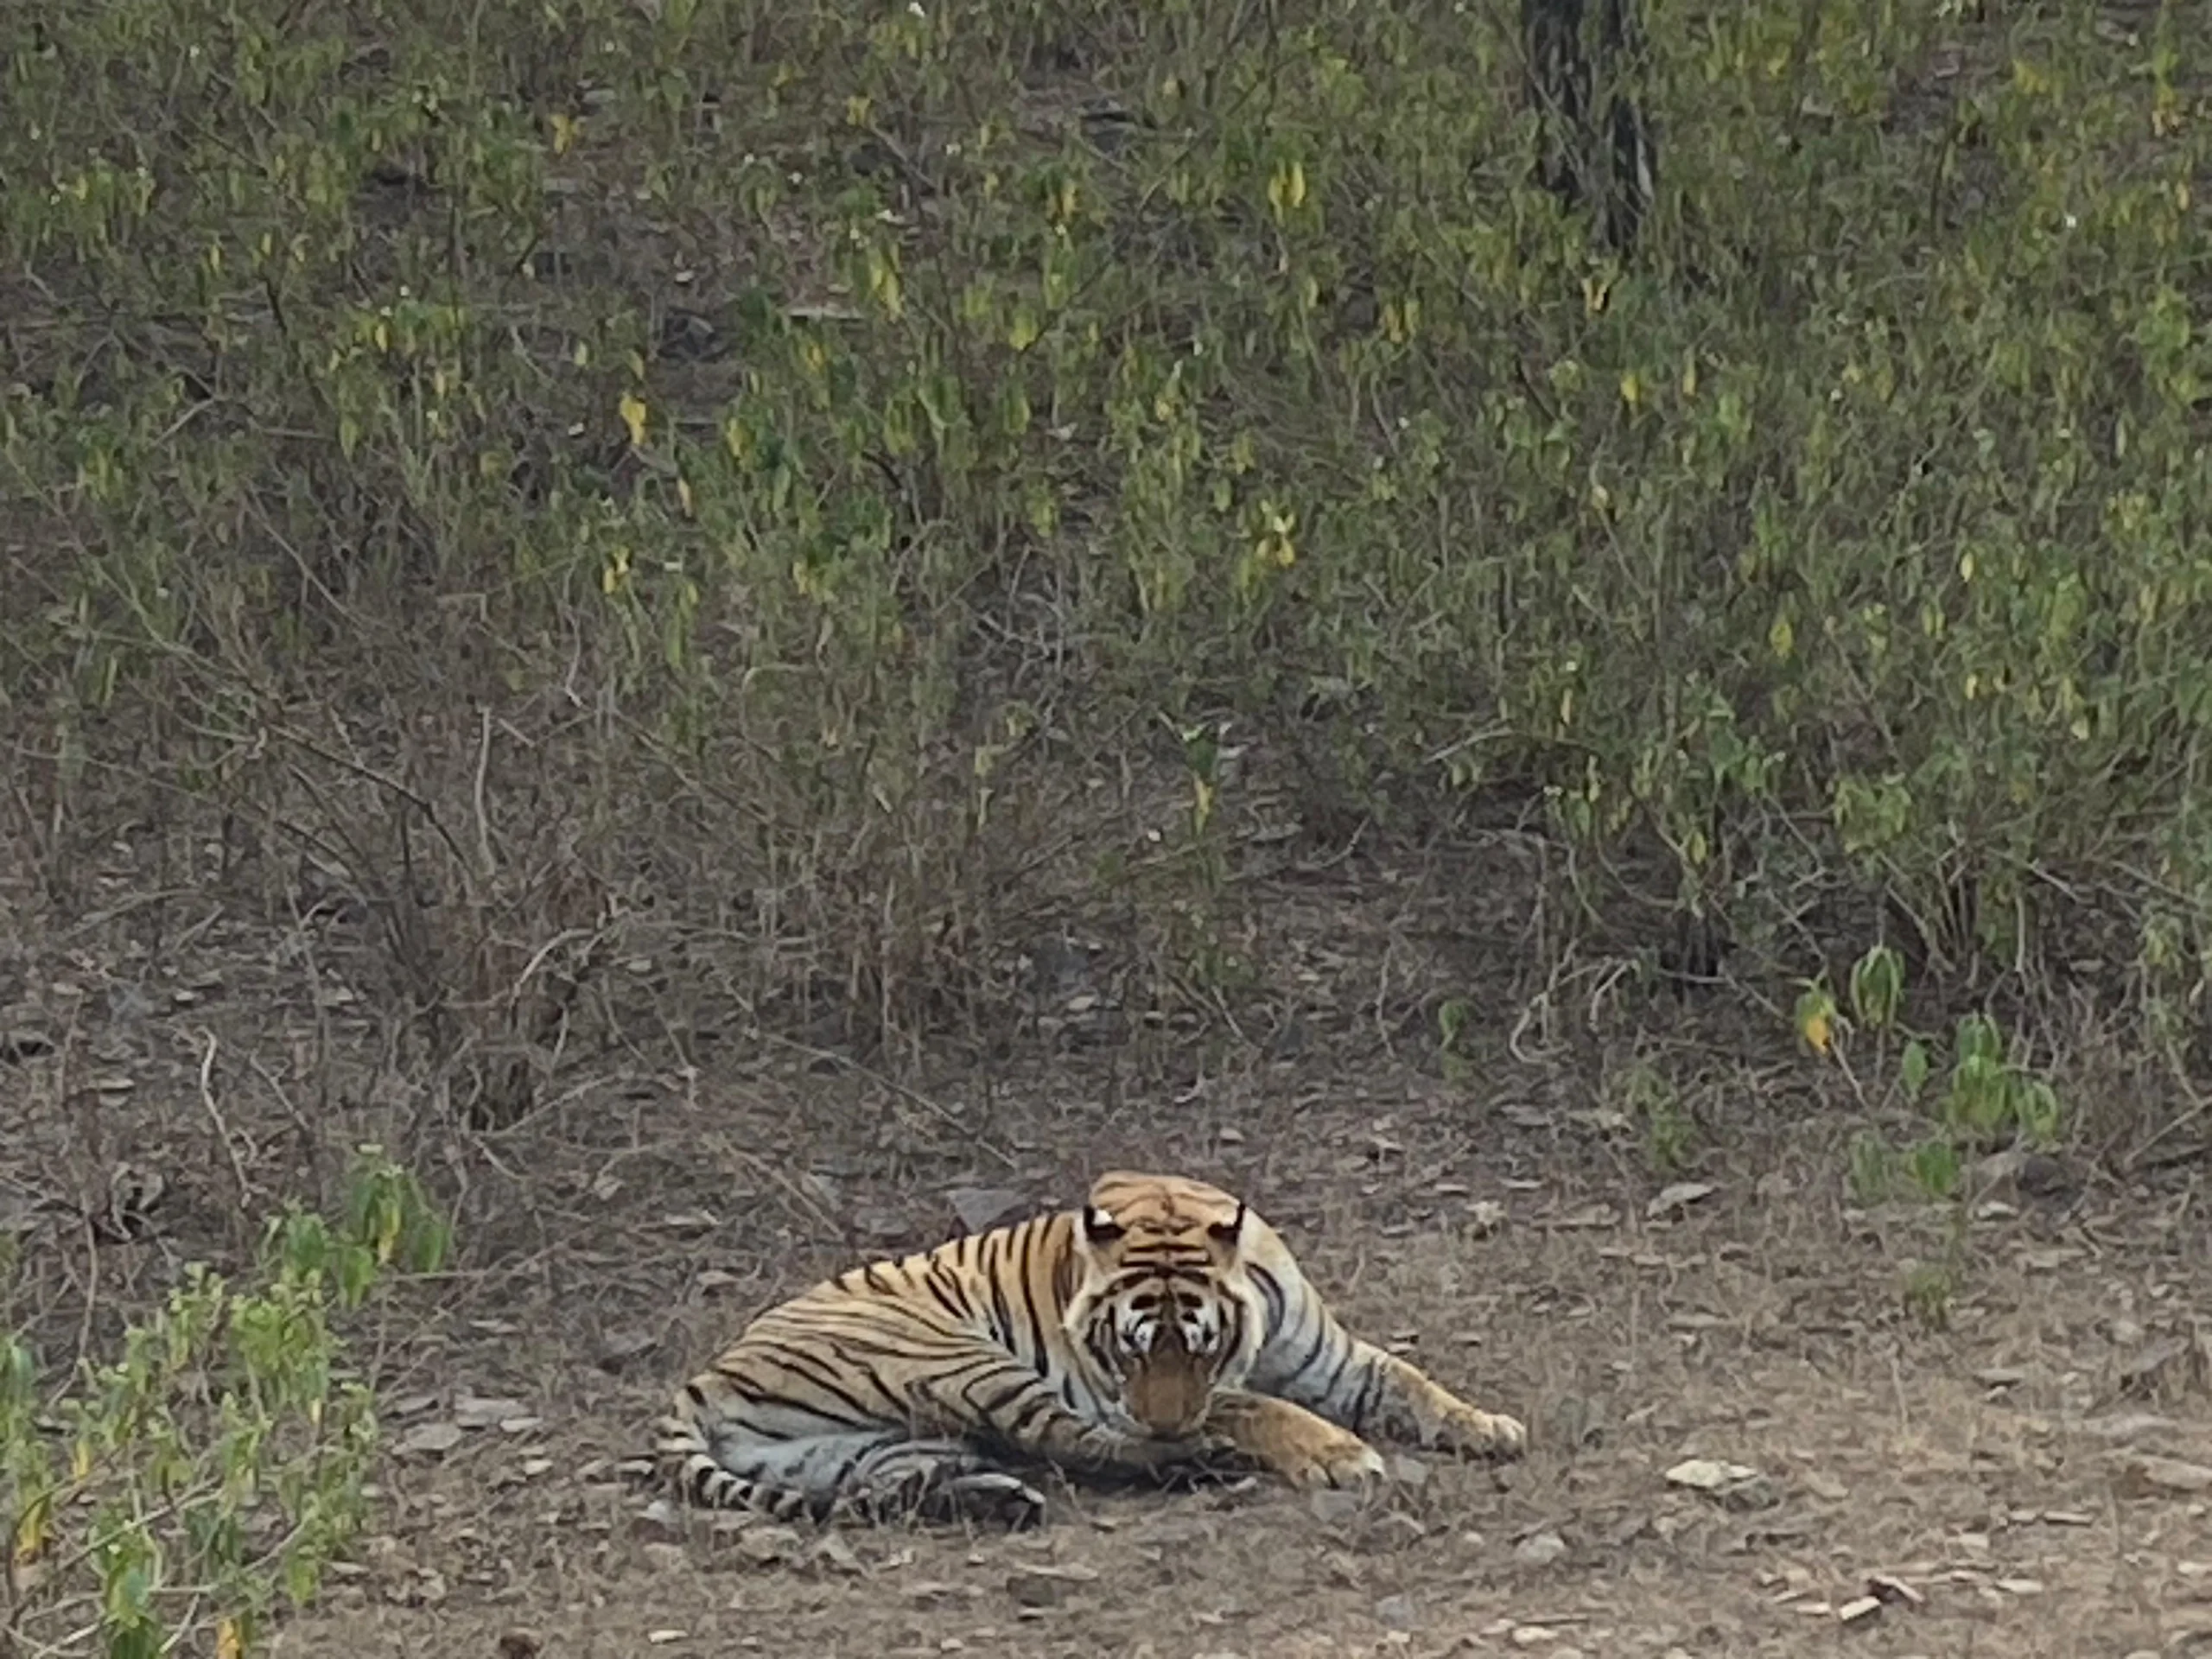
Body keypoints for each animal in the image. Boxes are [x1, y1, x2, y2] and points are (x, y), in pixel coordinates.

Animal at [651, 1170, 1526, 1525]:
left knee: (898, 1490)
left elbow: (1410, 1379)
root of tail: (702, 1377)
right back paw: (1198, 1462)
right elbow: (1259, 1406)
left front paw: (1489, 1427)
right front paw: (1340, 1457)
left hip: (860, 1450)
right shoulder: (1125, 1397)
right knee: (1080, 1446)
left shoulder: (1331, 1358)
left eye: (1198, 1348)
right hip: (961, 1360)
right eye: (1129, 1353)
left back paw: (998, 1501)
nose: (1165, 1420)